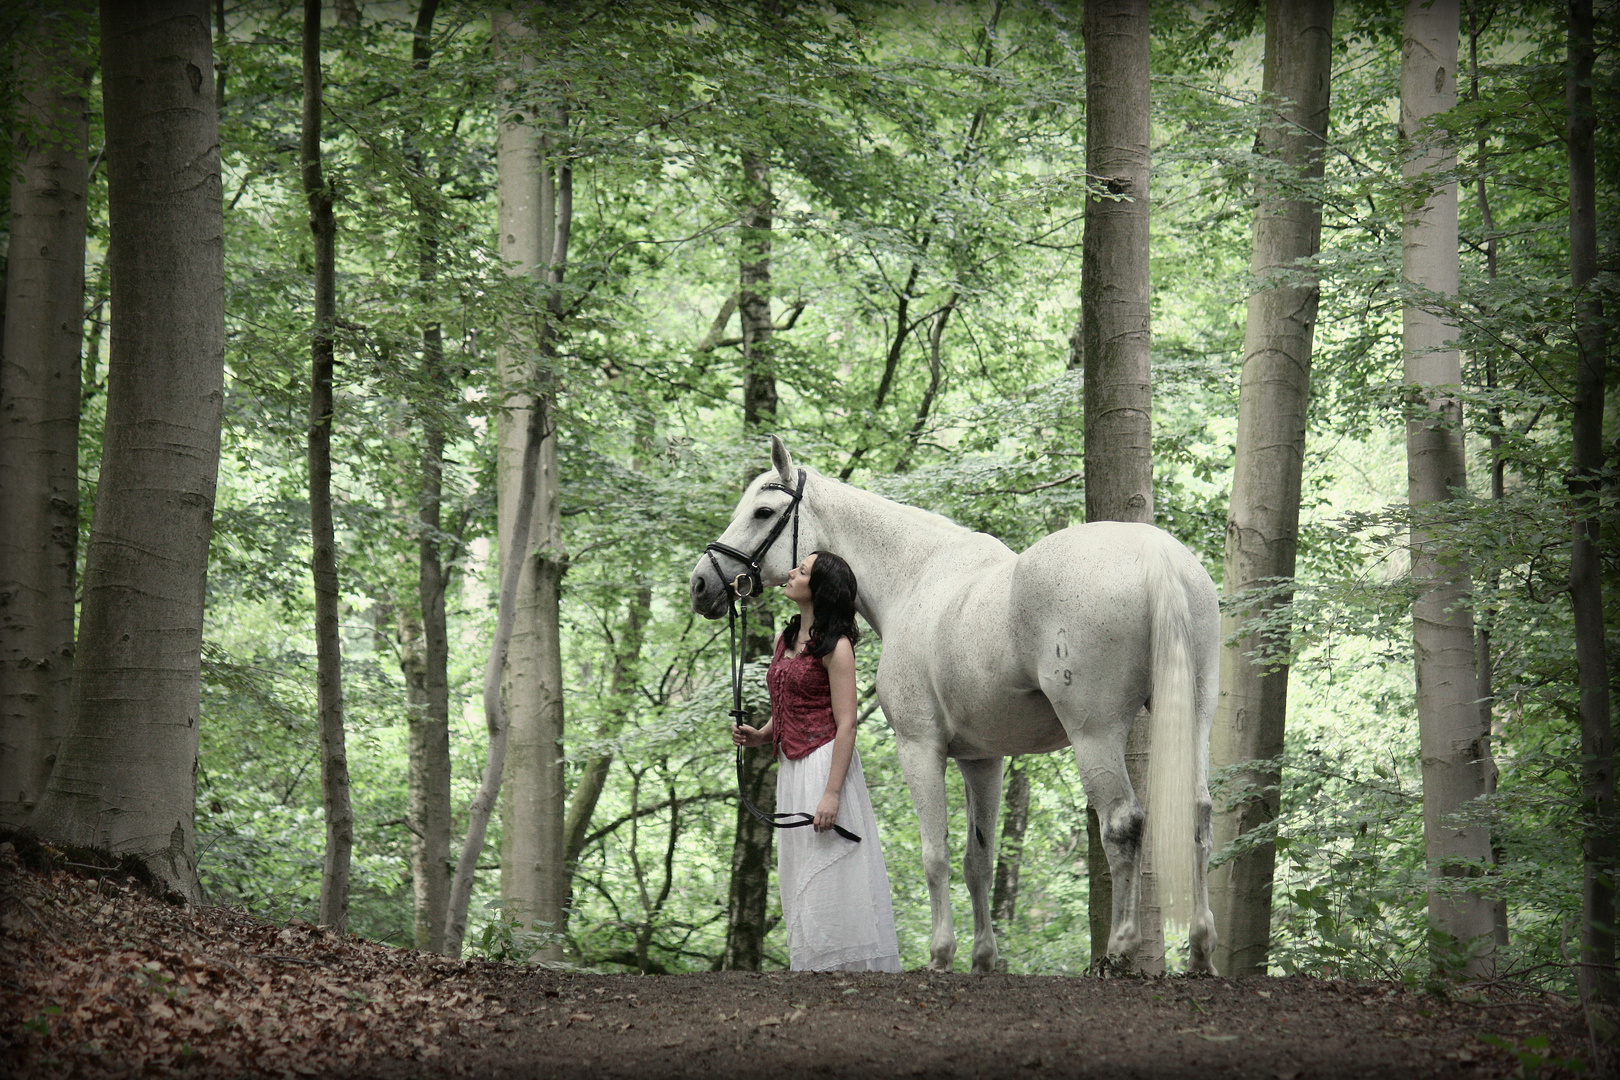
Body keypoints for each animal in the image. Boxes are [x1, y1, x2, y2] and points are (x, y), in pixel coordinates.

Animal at [690, 433, 1218, 977]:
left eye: (763, 511)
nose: (702, 584)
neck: (915, 579)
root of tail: (1156, 555)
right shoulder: (982, 759)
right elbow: (977, 860)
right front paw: (983, 958)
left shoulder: (920, 747)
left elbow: (936, 854)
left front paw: (941, 955)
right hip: (1196, 710)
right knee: (1199, 811)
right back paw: (1201, 949)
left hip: (1095, 733)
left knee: (1123, 823)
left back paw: (1121, 948)